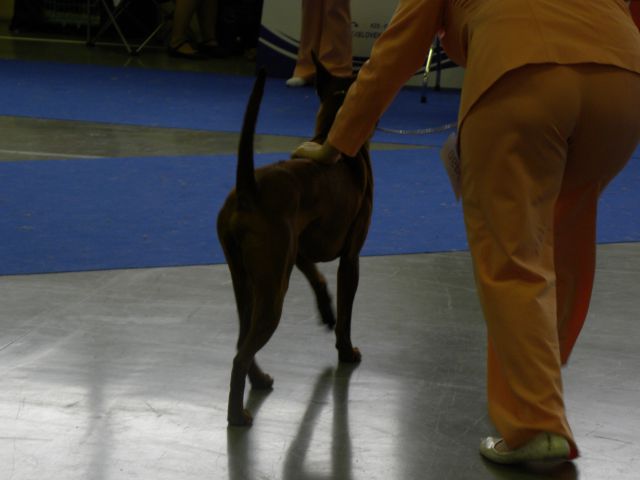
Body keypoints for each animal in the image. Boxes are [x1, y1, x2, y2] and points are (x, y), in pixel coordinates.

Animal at [218, 62, 372, 426]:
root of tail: (248, 190)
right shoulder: (352, 257)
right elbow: (347, 313)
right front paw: (346, 351)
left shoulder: (298, 248)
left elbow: (317, 276)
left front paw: (326, 310)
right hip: (273, 292)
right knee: (240, 355)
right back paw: (238, 416)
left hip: (248, 283)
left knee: (241, 340)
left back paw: (259, 380)